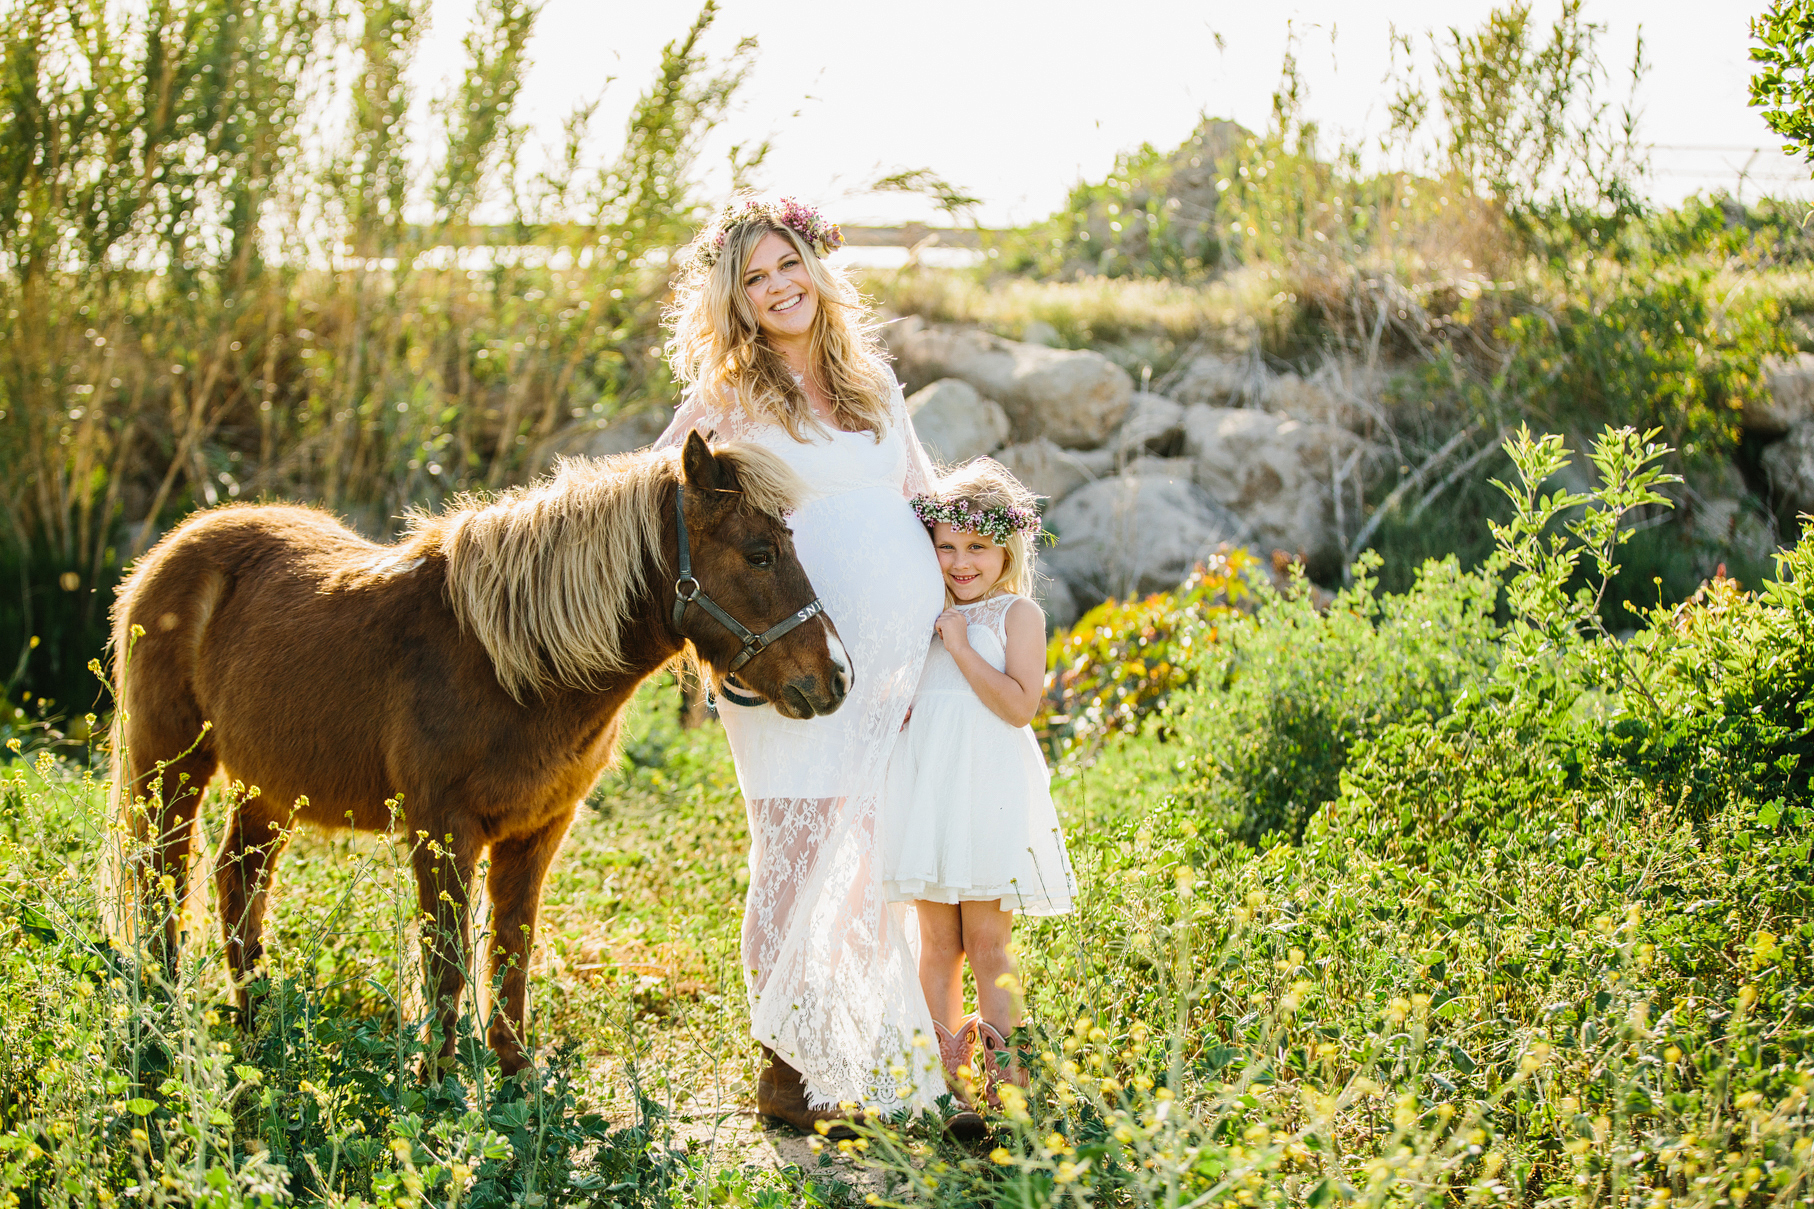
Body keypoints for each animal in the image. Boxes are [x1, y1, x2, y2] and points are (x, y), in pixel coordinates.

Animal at [109, 428, 845, 1067]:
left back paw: (255, 1016)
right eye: (759, 553)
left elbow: (512, 950)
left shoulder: (538, 831)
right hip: (170, 769)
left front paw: (513, 1076)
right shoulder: (442, 830)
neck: (511, 663)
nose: (835, 677)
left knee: (238, 878)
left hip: (268, 787)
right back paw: (165, 1013)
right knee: (161, 875)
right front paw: (435, 1084)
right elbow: (447, 959)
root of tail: (172, 549)